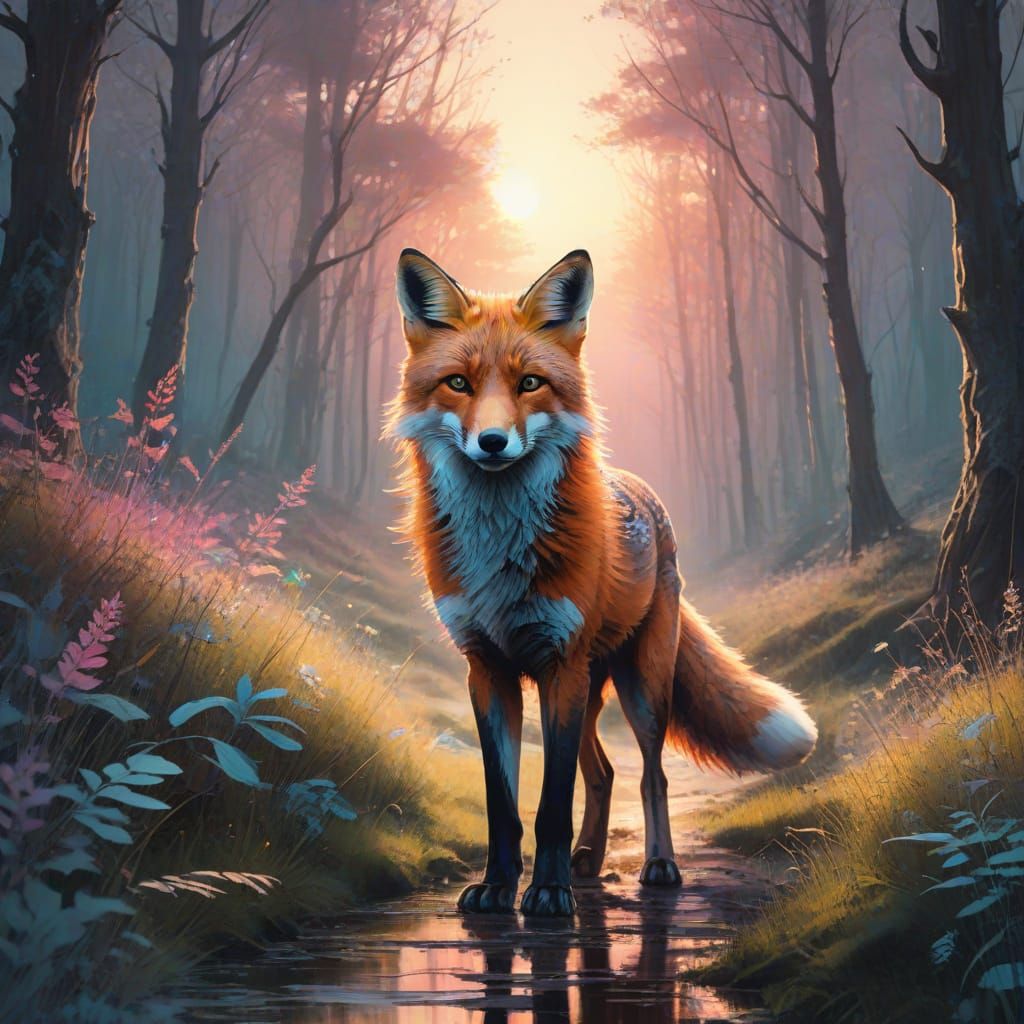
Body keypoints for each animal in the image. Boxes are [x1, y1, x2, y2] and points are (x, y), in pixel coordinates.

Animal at [386, 247, 817, 918]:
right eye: (458, 383)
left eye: (529, 383)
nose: (492, 442)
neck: (499, 552)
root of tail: (644, 492)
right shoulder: (488, 670)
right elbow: (504, 805)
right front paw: (499, 886)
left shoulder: (560, 663)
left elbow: (551, 806)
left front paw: (548, 891)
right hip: (588, 690)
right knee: (603, 771)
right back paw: (588, 861)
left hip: (638, 686)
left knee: (649, 773)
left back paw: (657, 866)